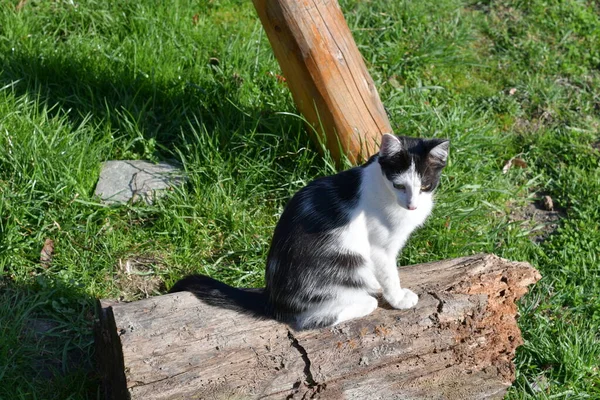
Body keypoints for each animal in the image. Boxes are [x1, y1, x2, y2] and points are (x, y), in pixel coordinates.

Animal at [169, 134, 446, 332]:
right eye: (399, 185)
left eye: (425, 186)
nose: (412, 205)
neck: (383, 188)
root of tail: (272, 299)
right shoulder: (379, 247)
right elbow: (389, 274)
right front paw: (398, 299)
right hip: (345, 265)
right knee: (310, 321)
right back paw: (363, 301)